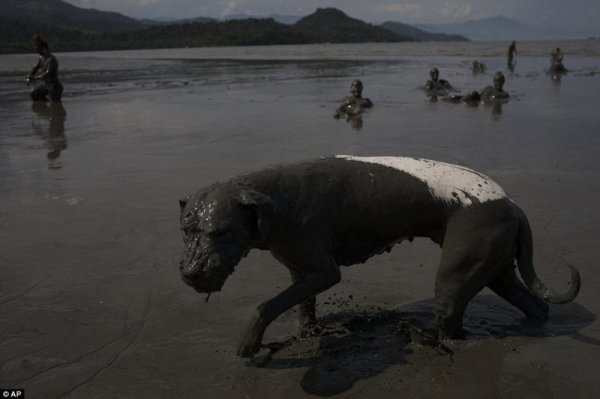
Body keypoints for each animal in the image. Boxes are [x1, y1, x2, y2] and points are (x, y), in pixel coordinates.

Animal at [179, 155, 580, 356]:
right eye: (185, 230)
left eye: (221, 232)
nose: (190, 274)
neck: (271, 197)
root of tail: (513, 205)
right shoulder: (300, 271)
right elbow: (301, 308)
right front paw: (307, 334)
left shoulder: (324, 272)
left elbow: (266, 305)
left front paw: (249, 341)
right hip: (495, 269)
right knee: (536, 306)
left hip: (457, 272)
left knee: (451, 322)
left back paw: (431, 342)